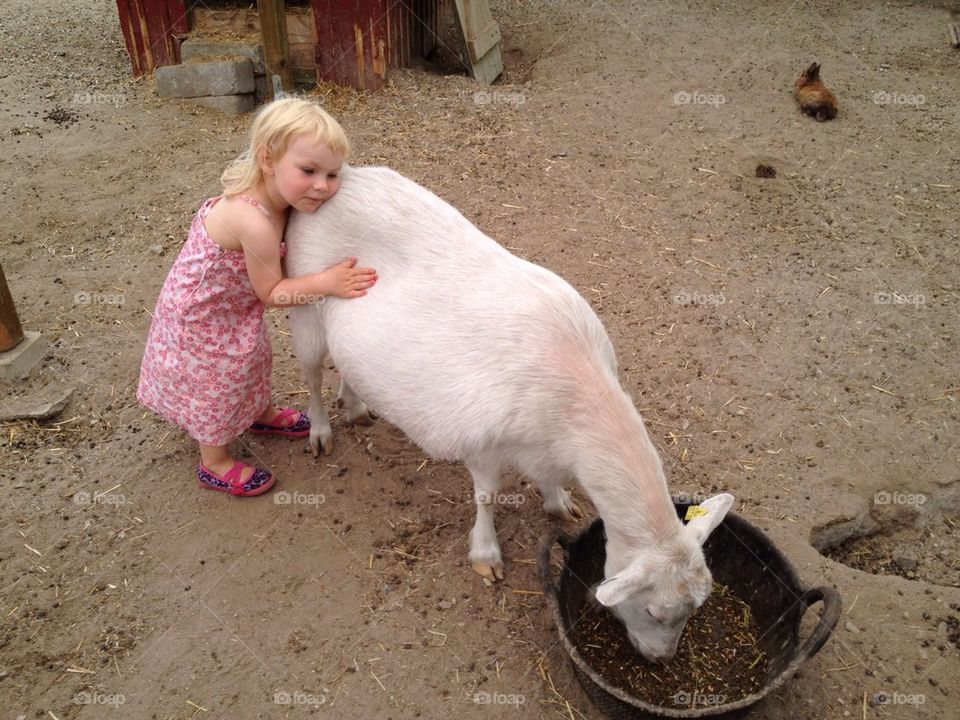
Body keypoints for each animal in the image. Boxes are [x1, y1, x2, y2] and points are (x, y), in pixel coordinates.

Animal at [284, 165, 734, 662]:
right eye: (653, 611)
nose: (661, 659)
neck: (574, 396)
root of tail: (342, 175)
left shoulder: (546, 445)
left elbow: (548, 480)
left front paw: (559, 502)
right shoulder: (483, 443)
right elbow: (487, 496)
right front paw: (486, 556)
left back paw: (357, 407)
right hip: (305, 306)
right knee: (311, 373)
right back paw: (321, 430)